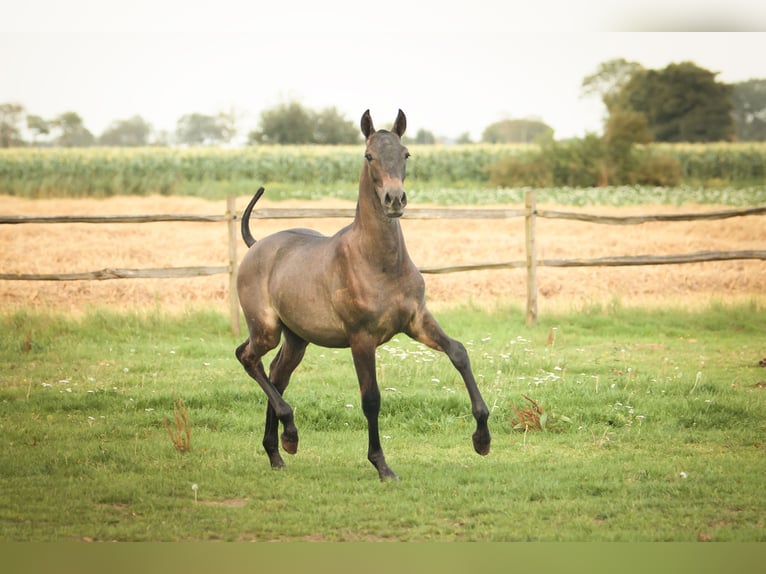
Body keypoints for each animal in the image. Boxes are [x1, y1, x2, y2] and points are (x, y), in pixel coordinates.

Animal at [235, 109, 490, 480]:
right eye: (369, 156)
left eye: (406, 154)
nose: (395, 200)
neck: (378, 262)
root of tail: (255, 246)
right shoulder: (361, 337)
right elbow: (371, 398)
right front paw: (382, 465)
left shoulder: (417, 321)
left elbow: (459, 353)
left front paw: (482, 438)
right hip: (266, 330)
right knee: (248, 358)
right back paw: (290, 433)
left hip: (296, 339)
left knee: (277, 375)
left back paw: (277, 451)